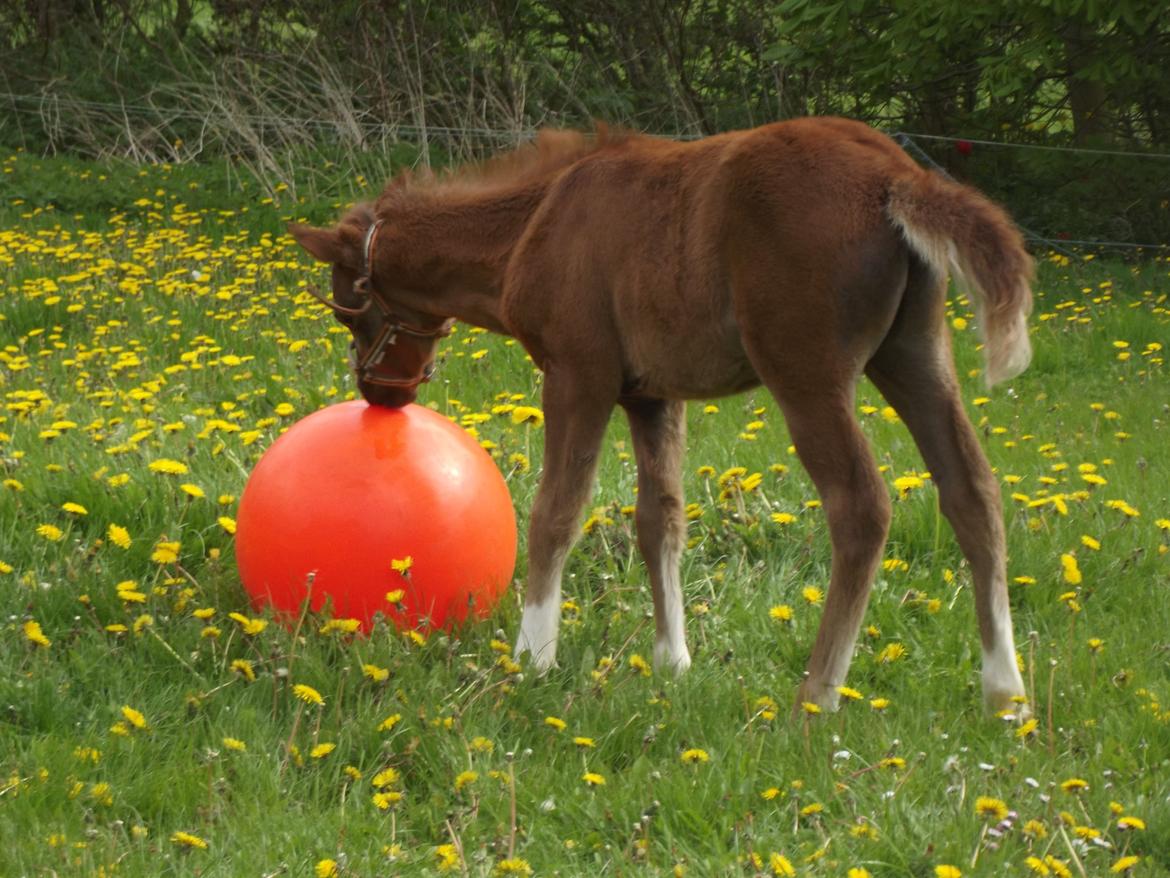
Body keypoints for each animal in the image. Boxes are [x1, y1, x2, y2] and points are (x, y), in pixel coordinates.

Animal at [290, 117, 1034, 717]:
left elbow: (556, 511)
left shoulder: (577, 375)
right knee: (973, 490)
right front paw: (673, 661)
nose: (382, 393)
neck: (535, 220)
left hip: (807, 374)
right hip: (915, 356)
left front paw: (533, 656)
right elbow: (661, 519)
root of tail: (894, 174)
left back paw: (817, 694)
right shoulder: (651, 394)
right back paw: (1005, 693)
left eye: (347, 308)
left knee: (862, 507)